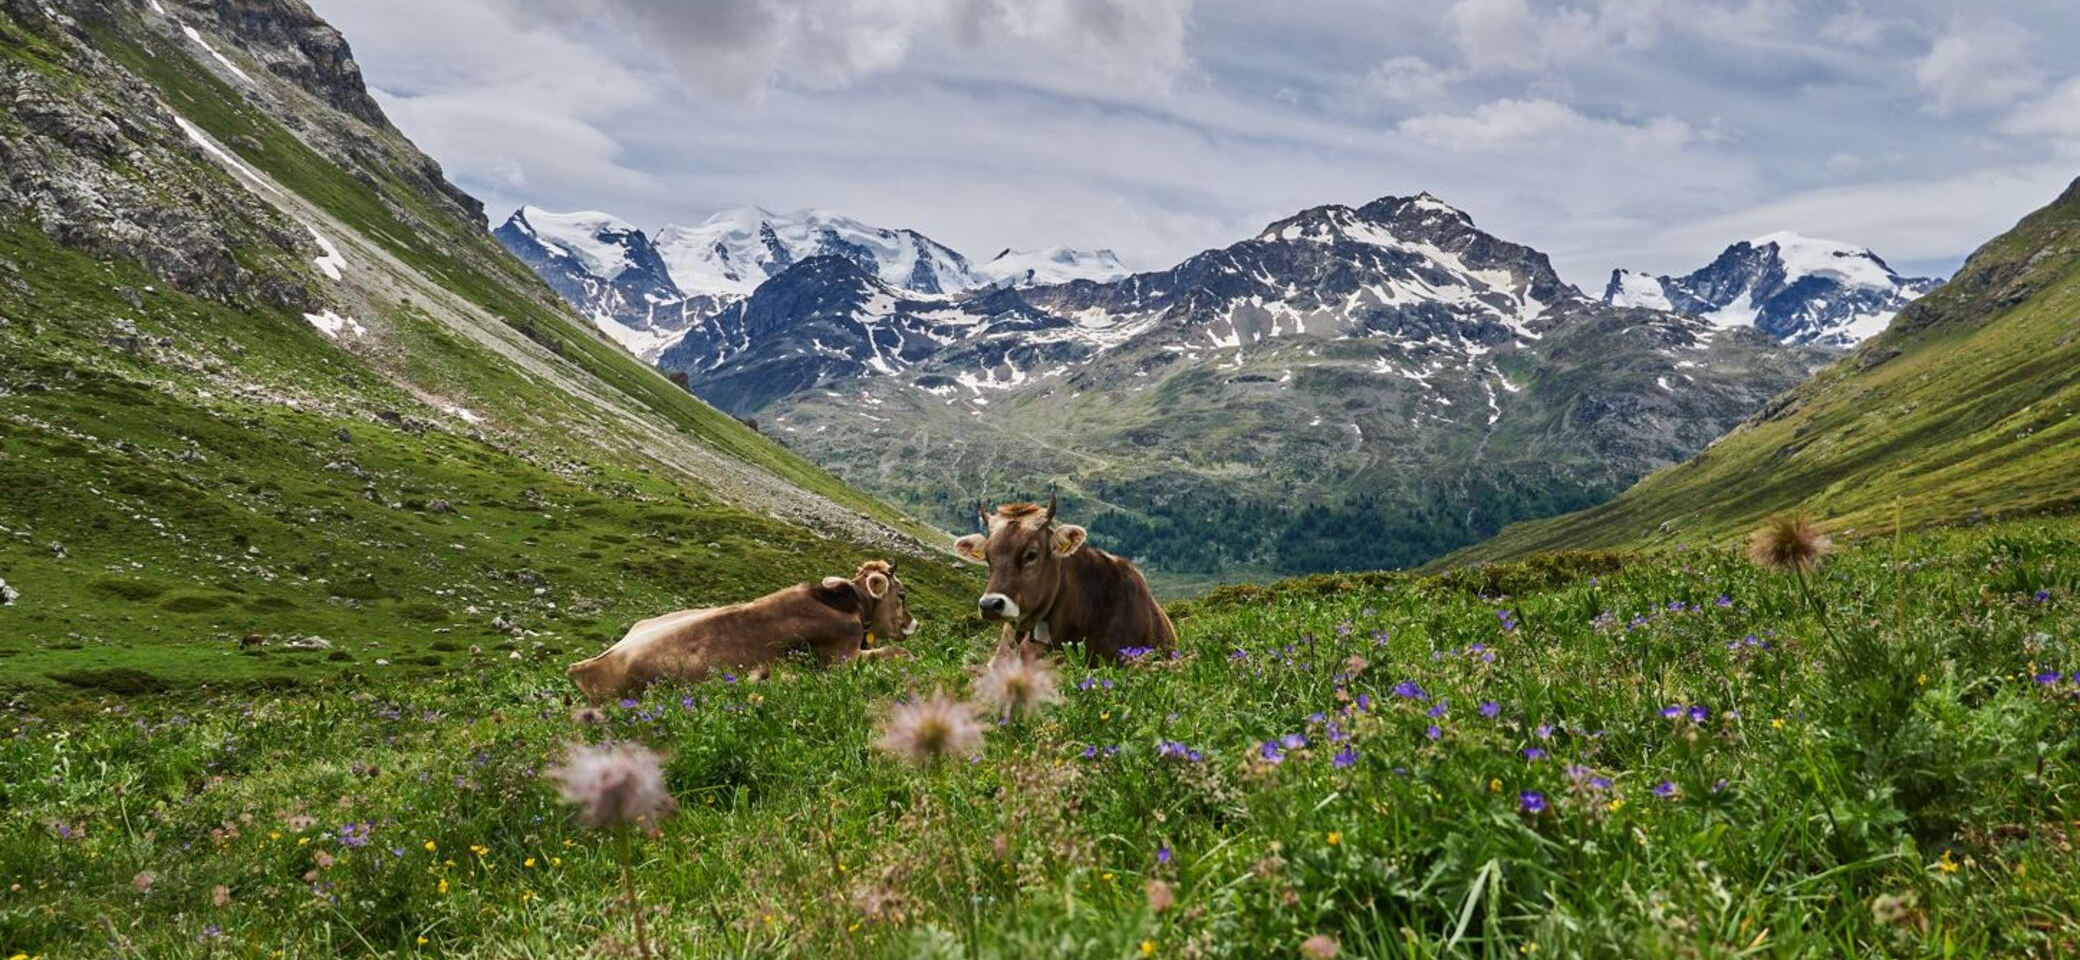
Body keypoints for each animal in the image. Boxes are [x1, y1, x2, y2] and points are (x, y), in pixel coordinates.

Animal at [565, 556, 915, 702]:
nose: (913, 621)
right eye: (902, 594)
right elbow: (900, 652)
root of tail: (581, 667)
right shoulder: (842, 656)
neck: (845, 605)